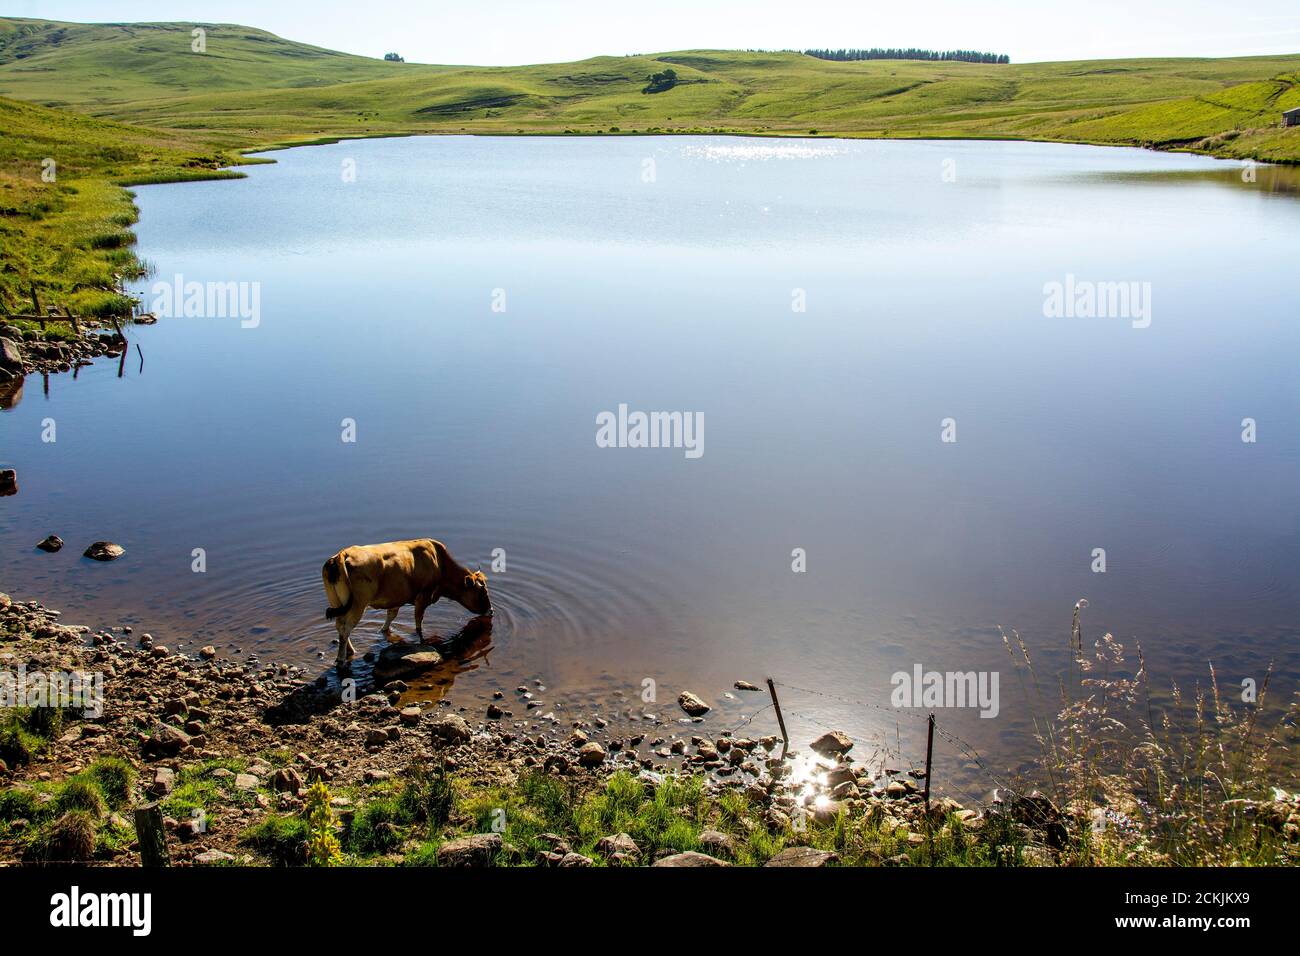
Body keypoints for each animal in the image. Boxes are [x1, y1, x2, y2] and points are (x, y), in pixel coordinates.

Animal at [321, 541, 491, 671]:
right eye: (482, 592)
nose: (491, 611)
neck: (440, 563)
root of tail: (343, 554)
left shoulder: (396, 599)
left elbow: (390, 617)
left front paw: (384, 631)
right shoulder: (423, 597)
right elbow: (418, 623)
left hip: (338, 602)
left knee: (340, 626)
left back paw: (350, 650)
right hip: (358, 605)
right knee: (346, 628)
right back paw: (341, 660)